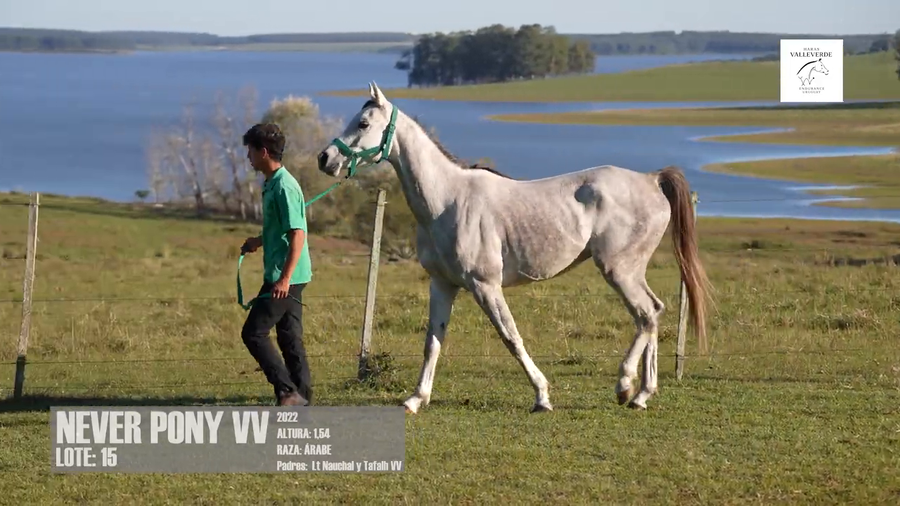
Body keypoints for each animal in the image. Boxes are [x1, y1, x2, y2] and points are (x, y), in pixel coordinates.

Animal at [316, 82, 712, 413]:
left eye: (363, 122)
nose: (325, 158)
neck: (446, 201)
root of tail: (652, 180)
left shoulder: (485, 285)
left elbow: (510, 337)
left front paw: (542, 397)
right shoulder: (442, 284)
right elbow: (432, 341)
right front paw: (416, 399)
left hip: (619, 269)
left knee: (646, 315)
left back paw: (625, 386)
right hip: (630, 271)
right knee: (653, 312)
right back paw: (643, 393)